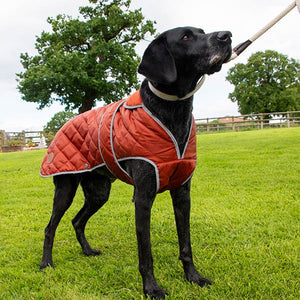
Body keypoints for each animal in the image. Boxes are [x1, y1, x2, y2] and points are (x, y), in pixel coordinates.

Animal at [39, 27, 232, 298]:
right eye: (186, 37)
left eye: (202, 32)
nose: (227, 35)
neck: (172, 110)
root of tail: (62, 126)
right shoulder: (143, 198)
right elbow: (146, 252)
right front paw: (151, 288)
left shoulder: (182, 194)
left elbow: (186, 244)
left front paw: (193, 277)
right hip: (65, 188)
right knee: (50, 227)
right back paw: (46, 263)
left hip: (99, 192)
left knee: (77, 221)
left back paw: (87, 251)